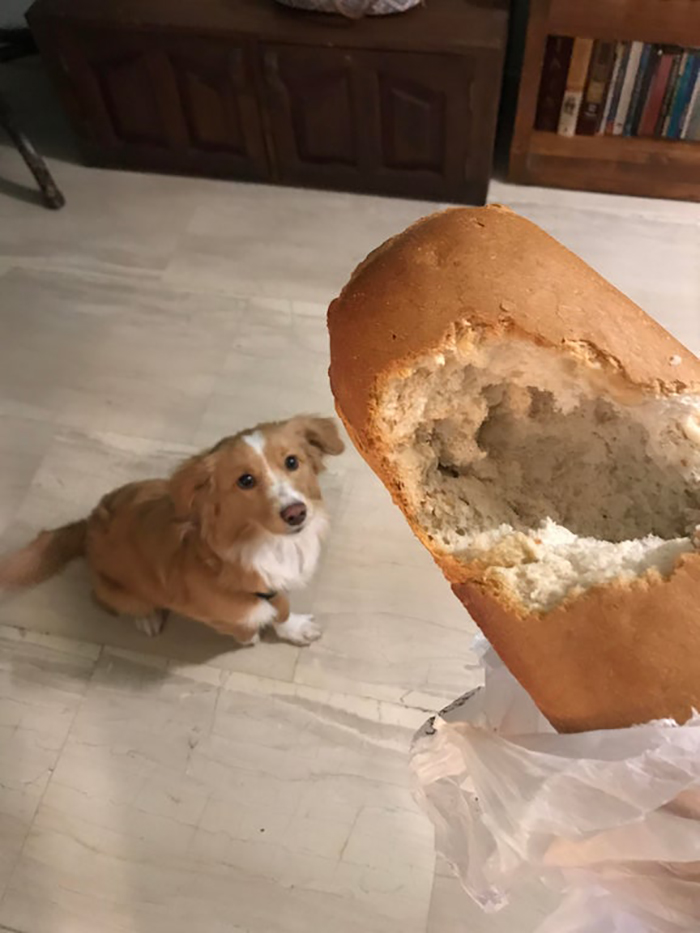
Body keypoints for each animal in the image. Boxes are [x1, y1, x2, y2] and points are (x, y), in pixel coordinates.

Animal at [0, 416, 344, 644]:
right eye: (245, 480)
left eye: (292, 462)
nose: (296, 513)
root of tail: (88, 526)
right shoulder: (224, 614)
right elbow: (249, 624)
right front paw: (252, 638)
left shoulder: (274, 587)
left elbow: (282, 609)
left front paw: (293, 628)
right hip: (118, 593)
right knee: (106, 601)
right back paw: (147, 617)